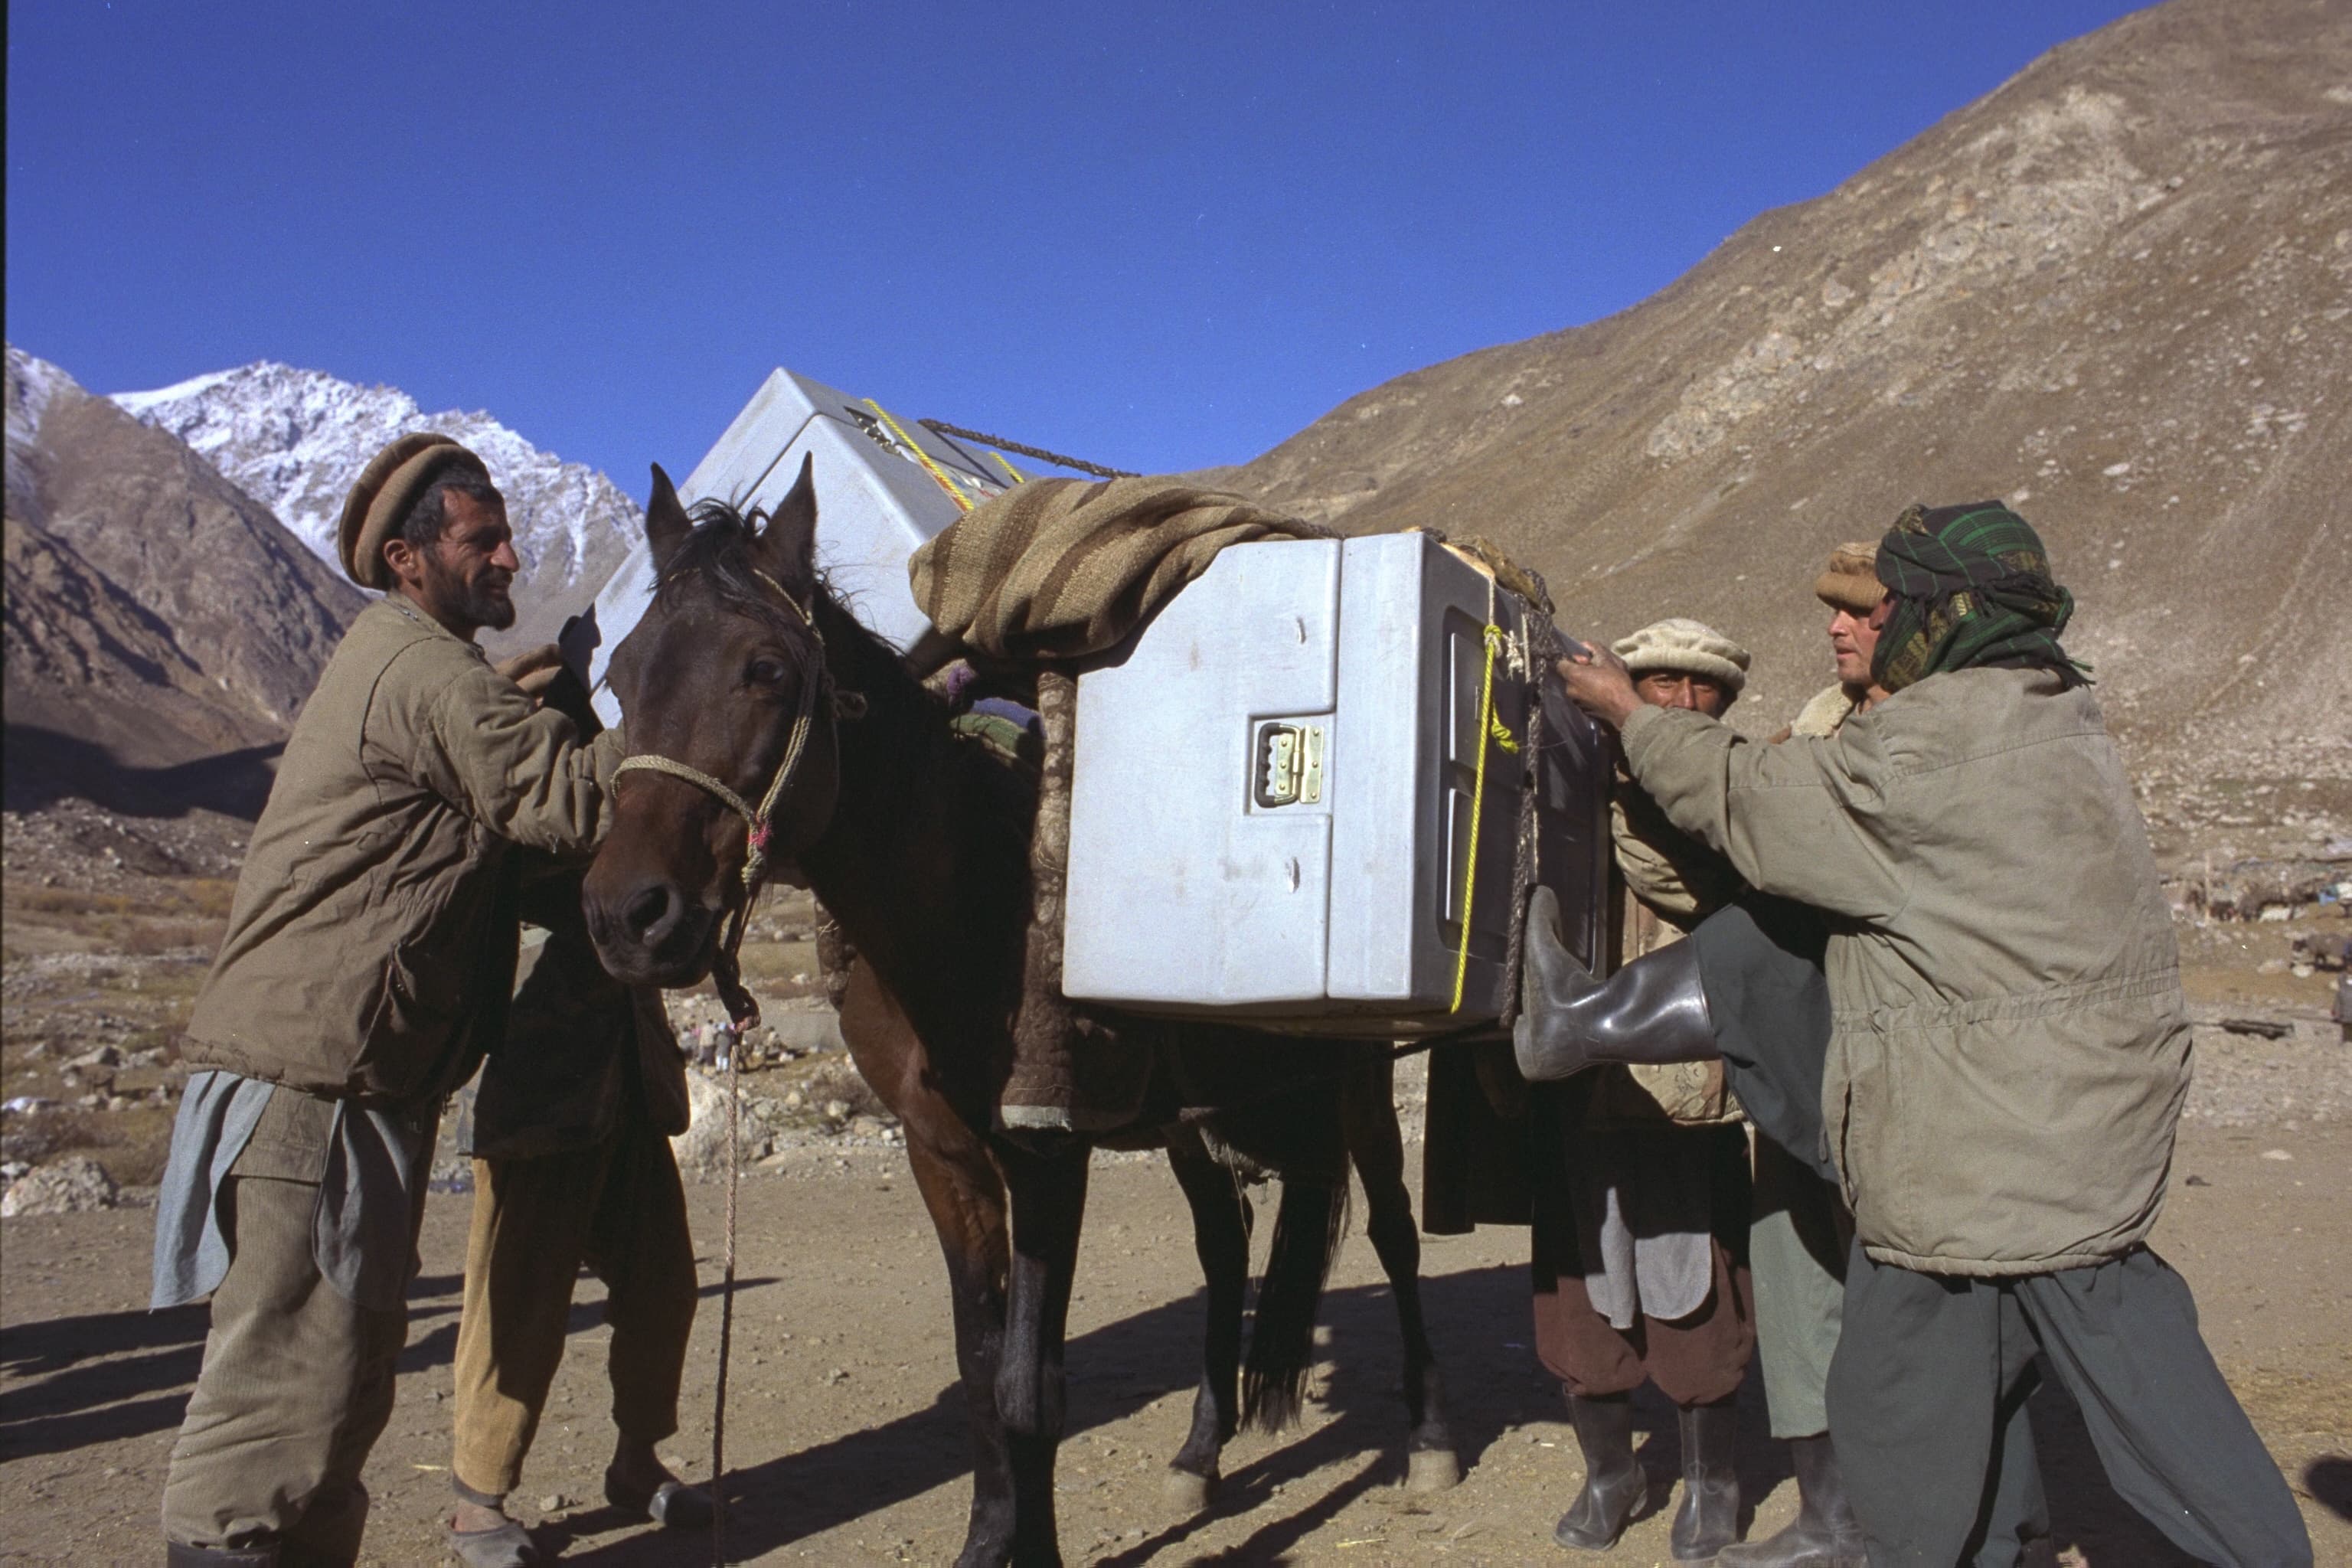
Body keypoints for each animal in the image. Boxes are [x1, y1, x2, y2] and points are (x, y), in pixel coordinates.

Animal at [583, 465, 1449, 1568]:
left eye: (766, 668)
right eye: (620, 673)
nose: (628, 916)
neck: (956, 898)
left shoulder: (1047, 1153)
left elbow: (1032, 1384)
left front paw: (1029, 1547)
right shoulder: (941, 1154)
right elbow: (981, 1368)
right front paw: (989, 1536)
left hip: (1359, 1083)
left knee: (1395, 1231)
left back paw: (1430, 1436)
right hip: (1191, 1123)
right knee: (1223, 1249)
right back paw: (1199, 1453)